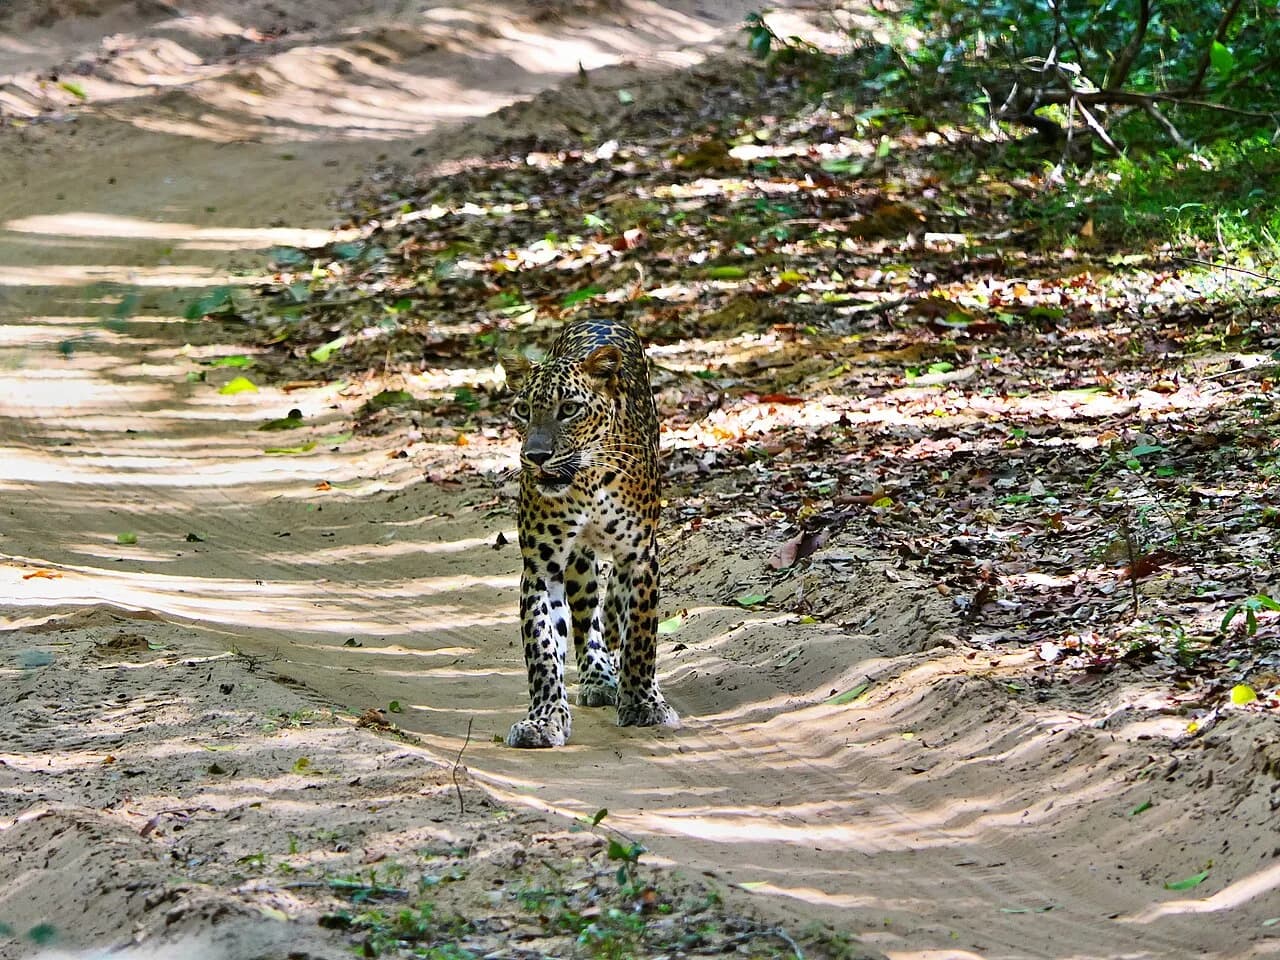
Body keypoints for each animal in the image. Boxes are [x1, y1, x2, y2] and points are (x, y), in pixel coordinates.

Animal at [501, 317, 680, 748]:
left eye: (569, 409)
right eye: (522, 410)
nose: (536, 457)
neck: (586, 481)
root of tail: (598, 319)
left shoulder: (640, 557)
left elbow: (641, 637)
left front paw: (642, 703)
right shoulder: (540, 567)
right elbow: (543, 649)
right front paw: (543, 720)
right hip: (578, 564)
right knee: (586, 620)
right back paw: (598, 675)